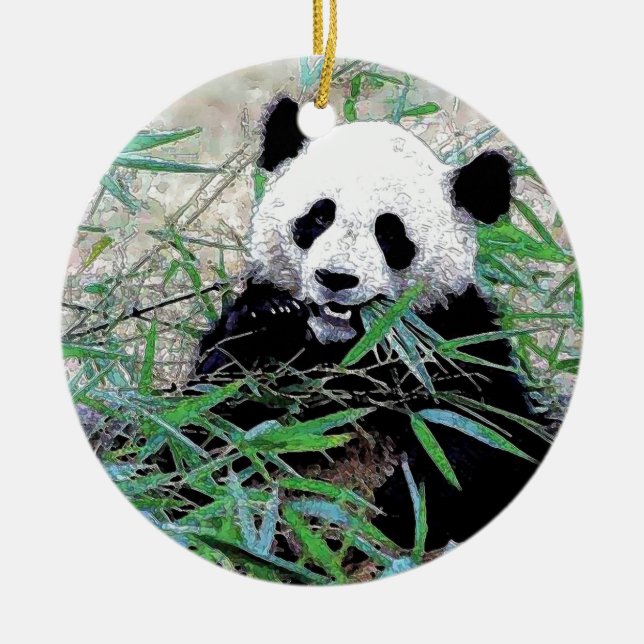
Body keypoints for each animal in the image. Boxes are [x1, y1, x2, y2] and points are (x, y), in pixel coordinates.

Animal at [194, 97, 554, 553]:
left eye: (390, 232)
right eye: (319, 217)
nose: (336, 278)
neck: (349, 349)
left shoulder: (455, 342)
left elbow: (485, 435)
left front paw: (403, 503)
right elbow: (208, 421)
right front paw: (269, 318)